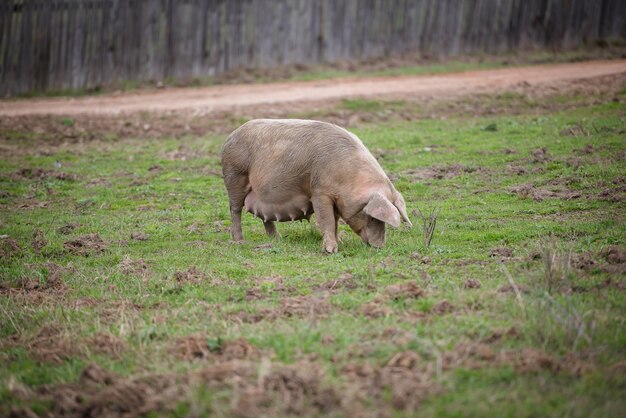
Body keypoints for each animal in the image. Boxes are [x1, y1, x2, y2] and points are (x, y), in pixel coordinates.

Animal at [219, 119, 410, 253]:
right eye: (371, 217)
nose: (379, 246)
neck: (347, 179)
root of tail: (230, 136)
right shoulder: (319, 192)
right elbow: (326, 220)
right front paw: (331, 250)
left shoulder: (336, 199)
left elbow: (335, 221)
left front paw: (340, 242)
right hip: (234, 175)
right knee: (235, 209)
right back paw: (239, 241)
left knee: (265, 217)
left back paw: (277, 239)